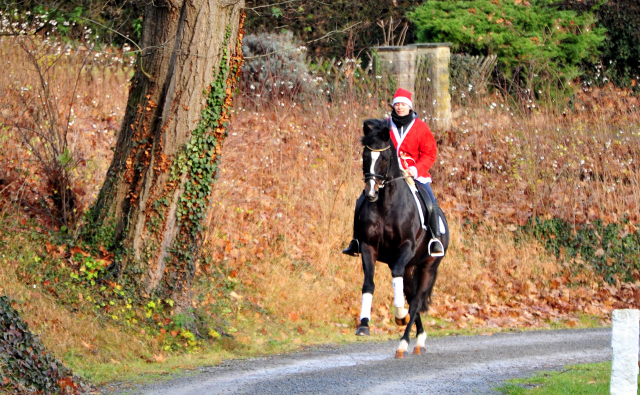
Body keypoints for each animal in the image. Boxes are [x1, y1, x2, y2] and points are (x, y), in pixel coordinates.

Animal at [352, 117, 448, 358]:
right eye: (365, 156)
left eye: (385, 157)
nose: (370, 193)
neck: (386, 202)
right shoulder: (368, 247)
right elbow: (368, 283)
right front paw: (364, 325)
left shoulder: (406, 247)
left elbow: (396, 277)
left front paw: (399, 314)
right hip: (410, 268)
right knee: (412, 297)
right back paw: (419, 338)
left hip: (428, 267)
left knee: (416, 302)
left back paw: (404, 342)